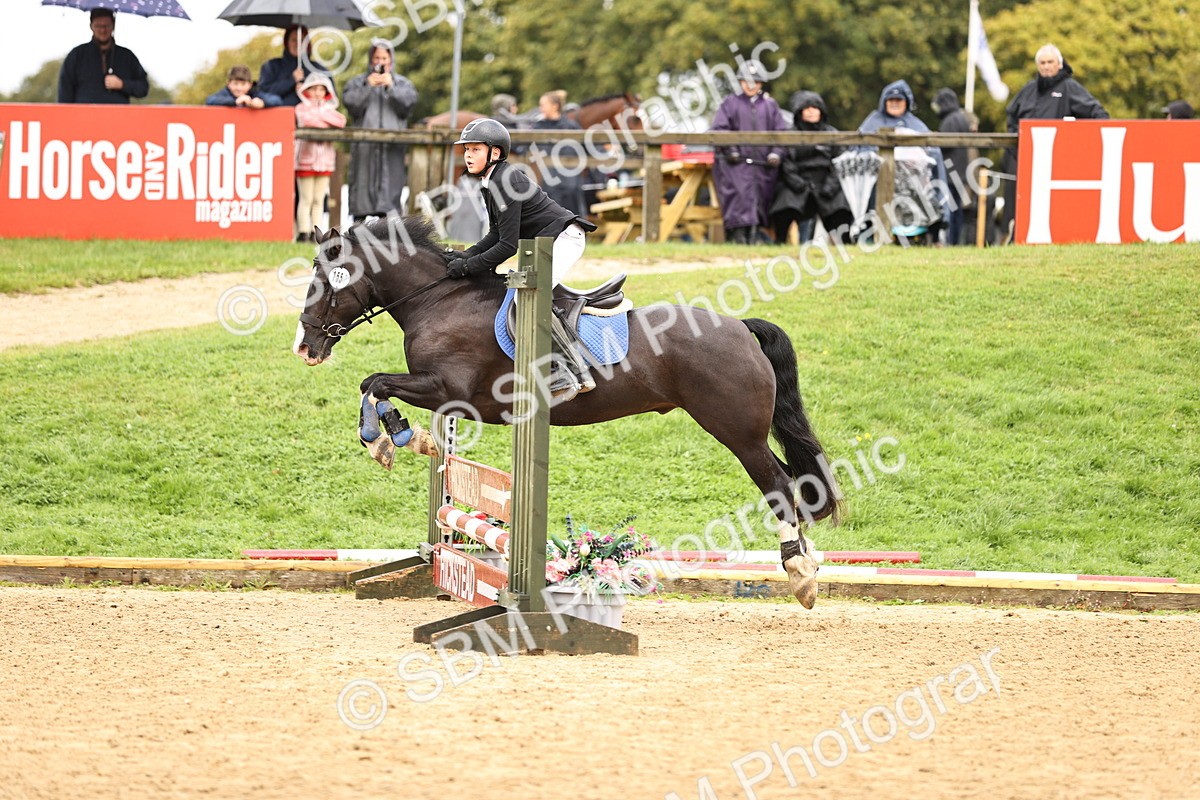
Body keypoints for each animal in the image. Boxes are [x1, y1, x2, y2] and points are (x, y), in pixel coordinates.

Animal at [292, 217, 841, 608]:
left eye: (327, 283)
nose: (304, 347)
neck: (439, 300)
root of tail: (741, 327)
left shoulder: (450, 389)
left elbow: (374, 383)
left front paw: (388, 440)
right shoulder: (440, 393)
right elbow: (374, 387)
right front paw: (404, 438)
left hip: (737, 432)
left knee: (778, 482)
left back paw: (800, 575)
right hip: (744, 431)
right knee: (794, 479)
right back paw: (809, 563)